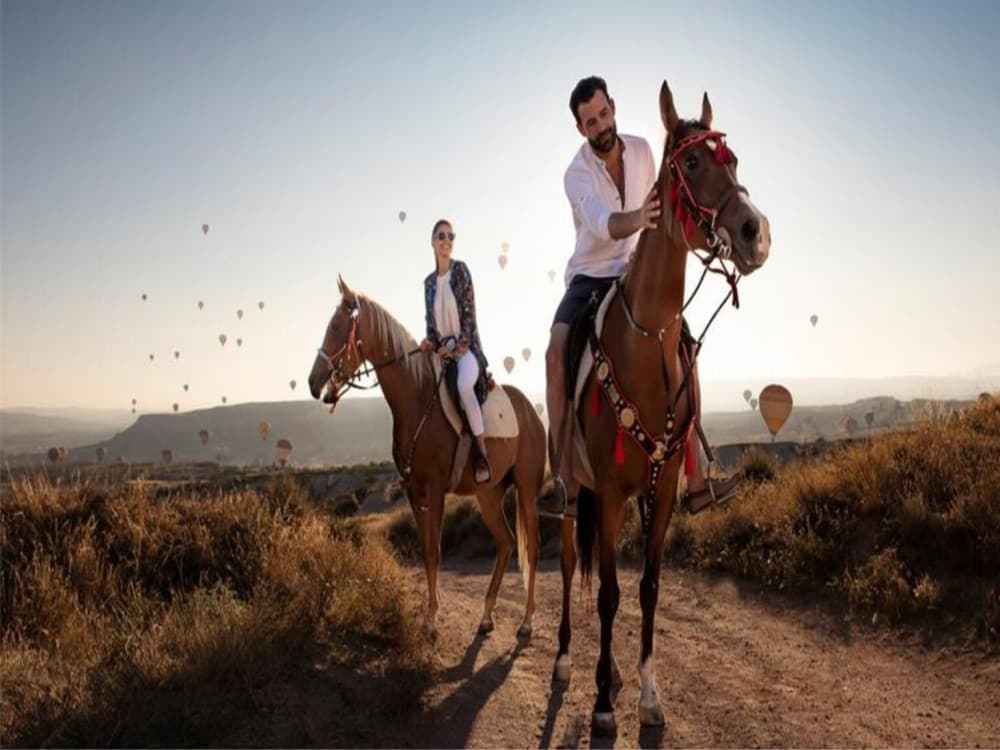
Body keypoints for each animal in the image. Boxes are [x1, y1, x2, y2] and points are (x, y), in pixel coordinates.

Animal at [308, 279, 544, 640]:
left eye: (336, 326)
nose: (313, 382)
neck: (417, 401)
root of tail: (531, 412)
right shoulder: (413, 490)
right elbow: (426, 552)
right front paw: (428, 616)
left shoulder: (435, 490)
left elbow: (435, 551)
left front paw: (431, 620)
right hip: (489, 493)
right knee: (506, 543)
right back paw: (486, 616)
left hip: (527, 491)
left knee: (531, 547)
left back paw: (527, 622)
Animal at [554, 81, 772, 733]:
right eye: (693, 162)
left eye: (734, 159)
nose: (755, 231)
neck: (643, 342)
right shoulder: (609, 491)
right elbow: (607, 593)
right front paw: (602, 706)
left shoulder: (665, 488)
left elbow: (647, 587)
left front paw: (648, 694)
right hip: (574, 489)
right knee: (569, 562)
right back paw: (569, 664)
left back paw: (618, 675)